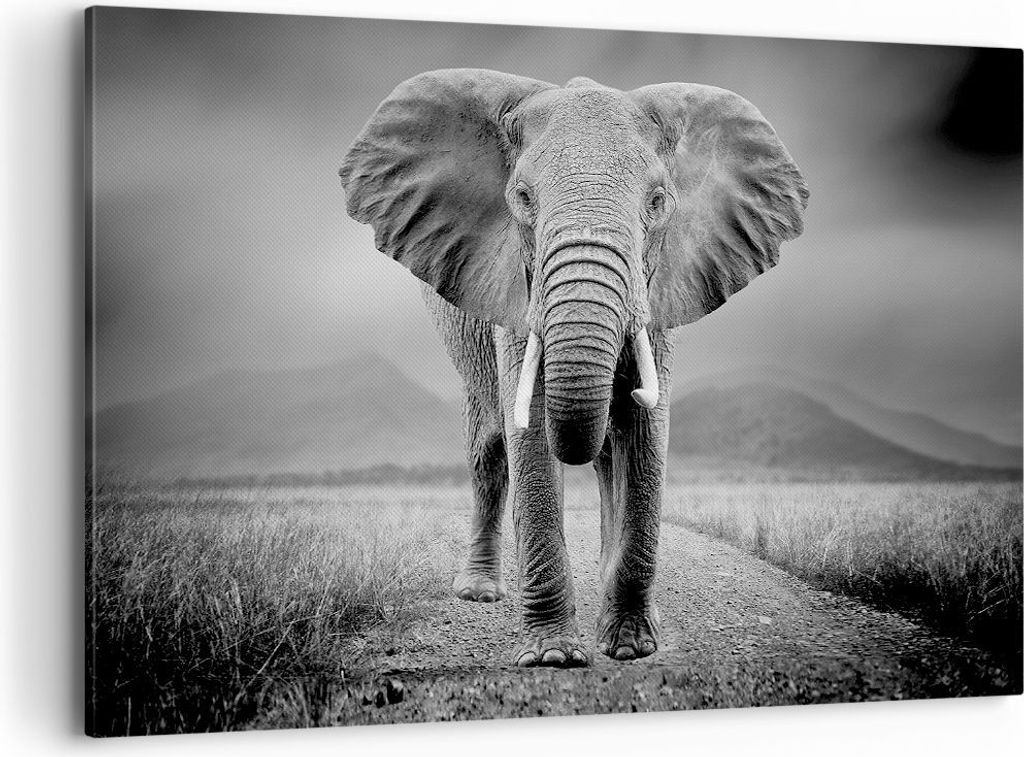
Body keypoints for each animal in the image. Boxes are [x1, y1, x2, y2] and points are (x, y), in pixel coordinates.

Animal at [339, 69, 807, 668]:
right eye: (521, 199)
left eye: (658, 202)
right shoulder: (515, 289)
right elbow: (533, 434)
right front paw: (553, 657)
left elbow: (646, 435)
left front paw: (631, 645)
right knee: (488, 452)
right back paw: (480, 592)